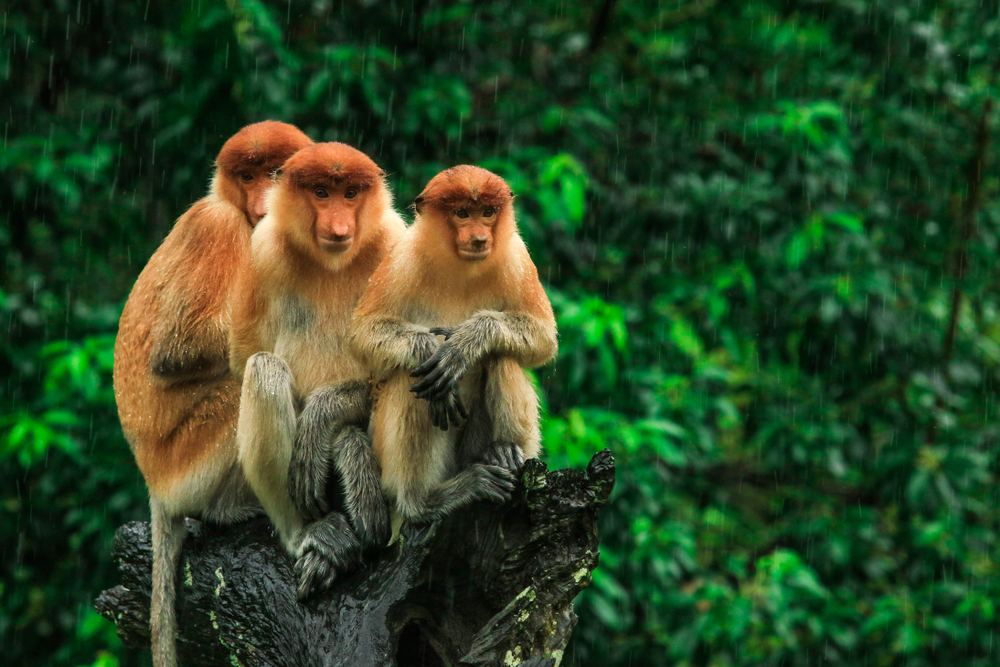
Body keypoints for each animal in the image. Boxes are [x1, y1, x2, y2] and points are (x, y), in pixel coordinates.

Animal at [112, 122, 312, 667]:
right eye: (248, 176)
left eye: (276, 173)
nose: (263, 201)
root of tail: (153, 483)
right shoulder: (217, 226)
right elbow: (175, 350)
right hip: (188, 461)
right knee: (244, 380)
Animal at [229, 141, 406, 600]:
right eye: (322, 193)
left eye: (351, 194)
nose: (340, 226)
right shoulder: (261, 249)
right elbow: (244, 356)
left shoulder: (395, 244)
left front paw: (322, 421)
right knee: (264, 369)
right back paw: (311, 535)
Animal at [352, 164, 560, 524]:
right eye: (462, 213)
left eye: (488, 212)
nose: (480, 239)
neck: (460, 267)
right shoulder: (401, 259)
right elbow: (362, 335)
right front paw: (428, 349)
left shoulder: (517, 256)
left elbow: (544, 337)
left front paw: (465, 343)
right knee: (412, 380)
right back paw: (425, 500)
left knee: (501, 356)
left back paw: (504, 452)